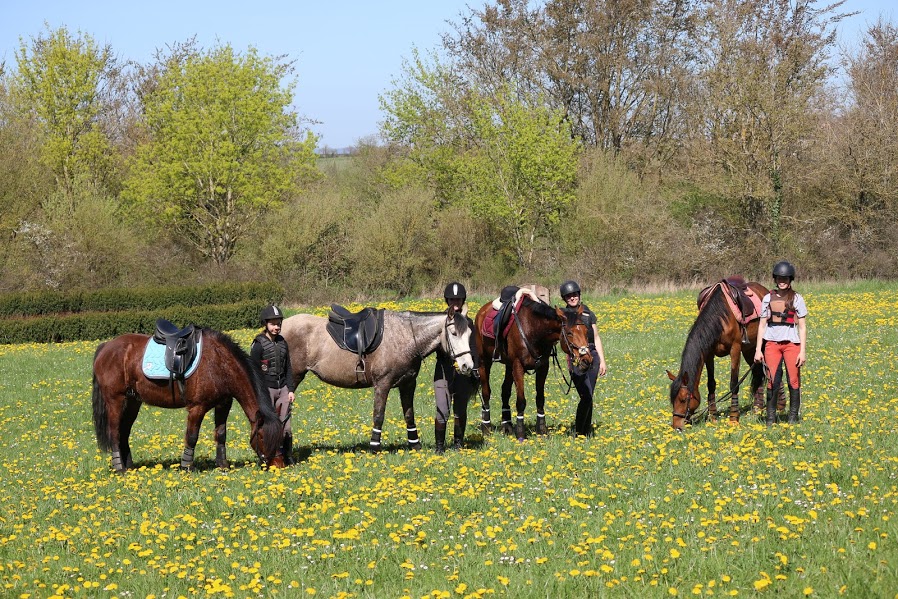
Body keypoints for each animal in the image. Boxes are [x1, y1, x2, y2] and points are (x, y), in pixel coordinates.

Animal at [91, 328, 284, 474]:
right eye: (261, 436)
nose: (278, 466)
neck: (219, 363)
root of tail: (106, 346)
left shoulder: (223, 404)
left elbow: (221, 434)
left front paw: (223, 465)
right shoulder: (197, 408)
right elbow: (191, 437)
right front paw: (187, 467)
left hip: (132, 402)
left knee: (124, 432)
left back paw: (130, 466)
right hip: (116, 400)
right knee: (115, 432)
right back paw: (120, 468)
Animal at [282, 310, 476, 450]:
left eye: (469, 335)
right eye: (454, 333)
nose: (467, 366)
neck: (404, 337)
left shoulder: (408, 384)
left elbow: (409, 415)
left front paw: (415, 445)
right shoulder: (382, 385)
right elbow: (378, 415)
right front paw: (374, 447)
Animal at [472, 292, 592, 440]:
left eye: (586, 331)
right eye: (569, 333)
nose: (587, 360)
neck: (534, 330)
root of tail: (482, 311)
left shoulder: (542, 367)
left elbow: (540, 399)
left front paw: (542, 430)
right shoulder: (518, 367)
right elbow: (521, 401)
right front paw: (520, 434)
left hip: (509, 366)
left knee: (505, 391)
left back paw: (507, 426)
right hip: (485, 362)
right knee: (486, 393)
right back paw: (486, 428)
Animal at [660, 278, 768, 428]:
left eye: (683, 399)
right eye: (672, 400)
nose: (677, 426)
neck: (720, 317)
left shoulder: (735, 349)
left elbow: (734, 384)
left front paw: (733, 419)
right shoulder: (708, 353)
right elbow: (711, 383)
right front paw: (713, 417)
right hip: (750, 349)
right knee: (758, 373)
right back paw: (757, 408)